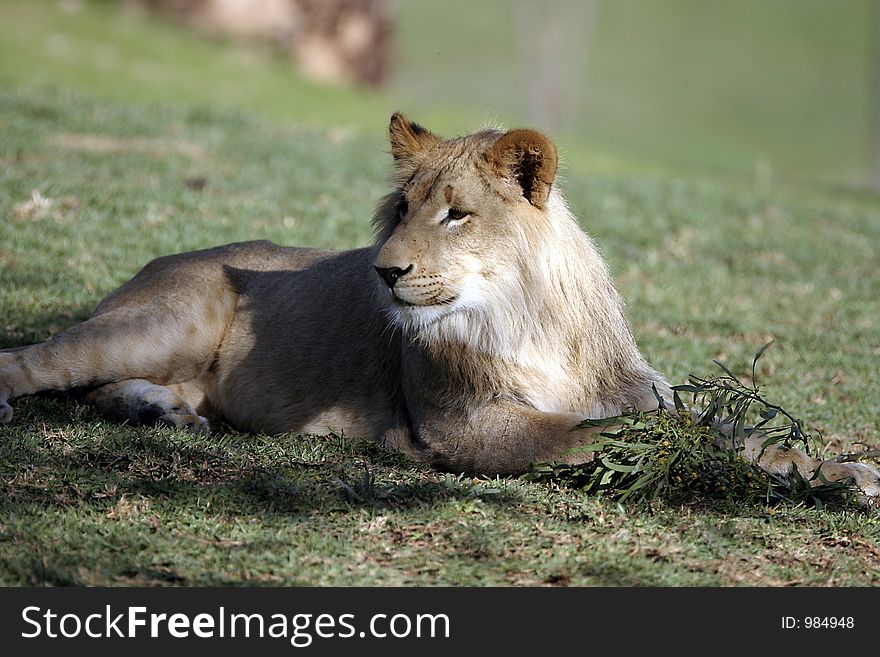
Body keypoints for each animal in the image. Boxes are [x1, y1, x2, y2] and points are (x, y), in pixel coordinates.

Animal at [0, 113, 876, 502]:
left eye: (456, 213)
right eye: (401, 209)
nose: (384, 272)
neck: (531, 315)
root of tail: (156, 261)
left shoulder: (635, 390)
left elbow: (726, 428)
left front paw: (843, 471)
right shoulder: (471, 427)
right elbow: (604, 434)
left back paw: (168, 415)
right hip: (160, 321)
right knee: (35, 360)